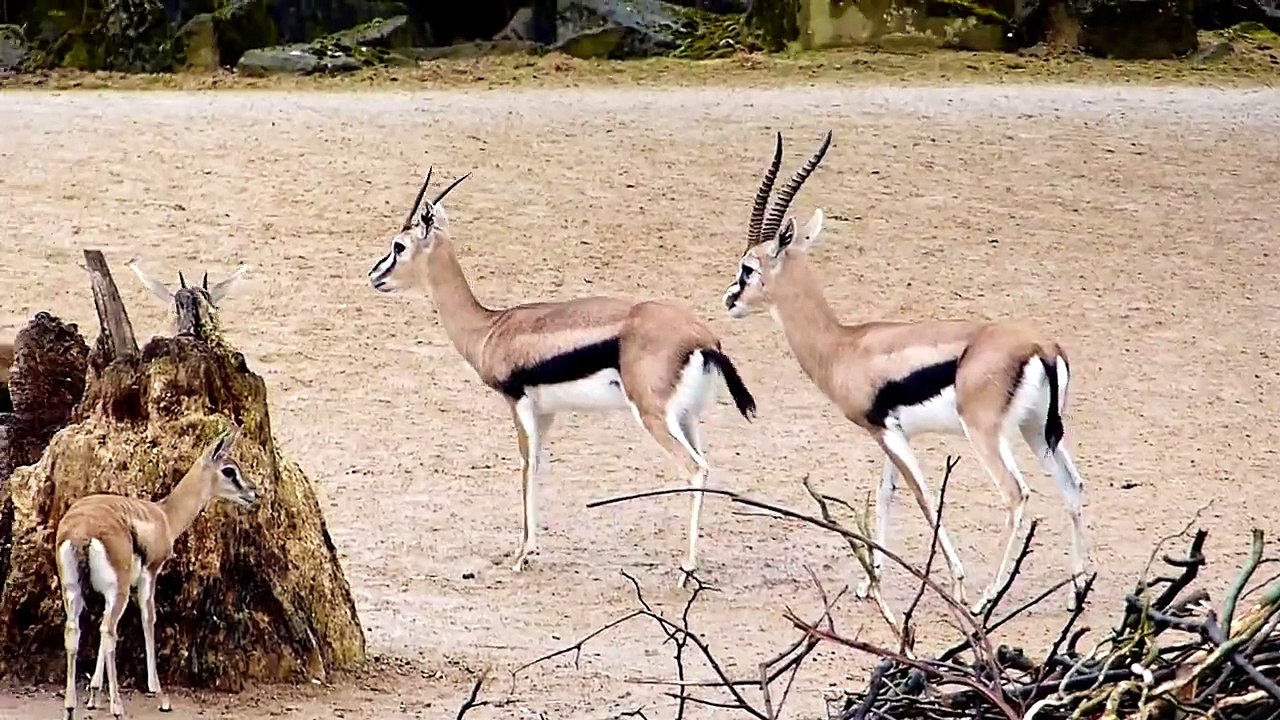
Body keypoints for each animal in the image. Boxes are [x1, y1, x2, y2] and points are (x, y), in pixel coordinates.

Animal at [54, 427, 259, 718]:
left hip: (74, 590)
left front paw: (93, 695)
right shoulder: (150, 574)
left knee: (75, 631)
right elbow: (148, 619)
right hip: (119, 590)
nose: (254, 493)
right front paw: (160, 695)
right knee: (108, 630)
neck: (164, 516)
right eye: (229, 470)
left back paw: (71, 707)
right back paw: (118, 708)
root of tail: (82, 530)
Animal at [367, 167, 758, 585]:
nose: (374, 276)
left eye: (399, 246)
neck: (489, 328)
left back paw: (686, 569)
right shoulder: (546, 411)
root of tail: (705, 338)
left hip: (653, 416)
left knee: (694, 468)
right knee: (705, 464)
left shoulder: (517, 401)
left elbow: (525, 465)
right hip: (686, 417)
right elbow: (538, 464)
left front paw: (523, 554)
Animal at [721, 131, 1091, 615]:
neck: (844, 347)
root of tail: (1041, 346)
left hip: (986, 434)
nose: (729, 299)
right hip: (1036, 430)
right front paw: (868, 583)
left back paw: (986, 600)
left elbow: (924, 496)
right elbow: (886, 494)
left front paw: (956, 583)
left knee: (1016, 493)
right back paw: (1077, 591)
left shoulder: (887, 432)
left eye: (748, 267)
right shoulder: (890, 432)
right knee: (1072, 485)